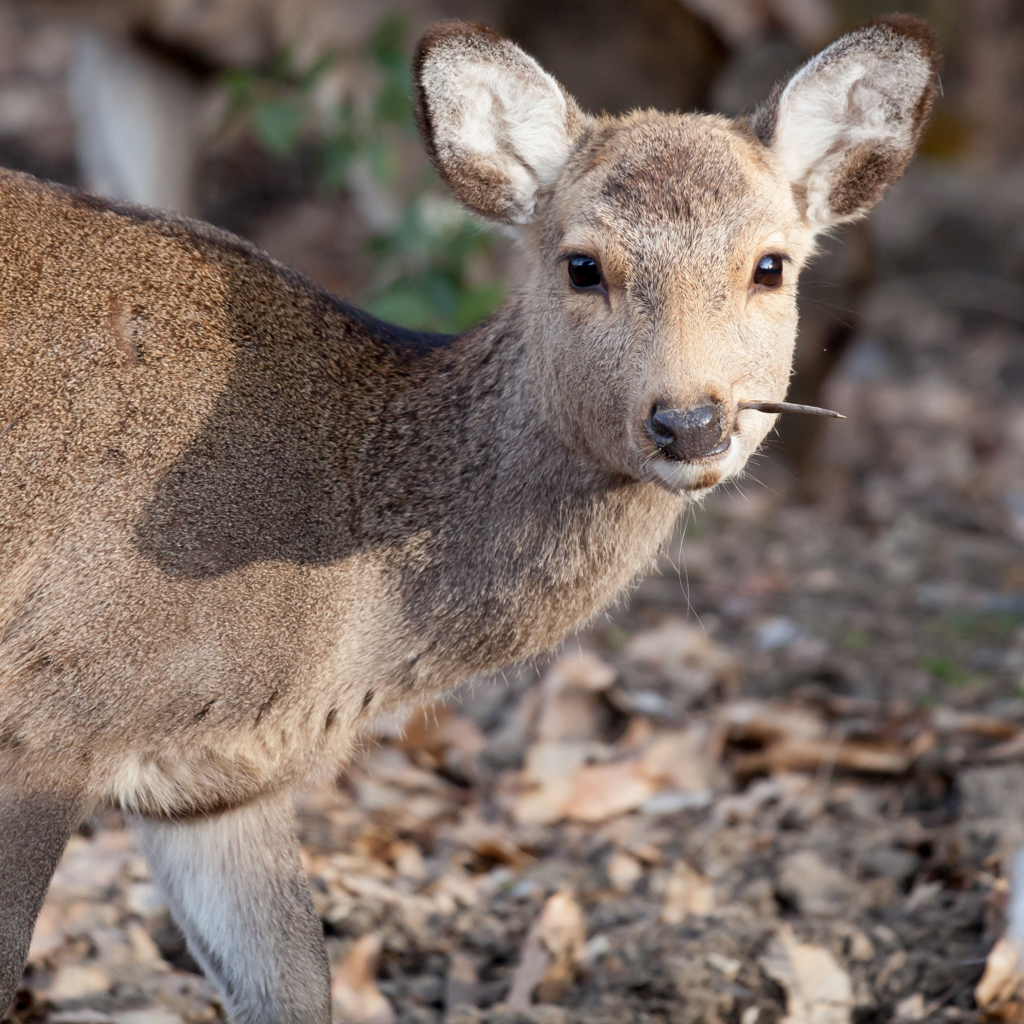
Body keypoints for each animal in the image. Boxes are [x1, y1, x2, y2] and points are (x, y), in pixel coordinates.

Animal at [0, 16, 937, 1024]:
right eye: (582, 264)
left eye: (771, 264)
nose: (690, 420)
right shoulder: (51, 715)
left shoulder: (213, 783)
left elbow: (296, 986)